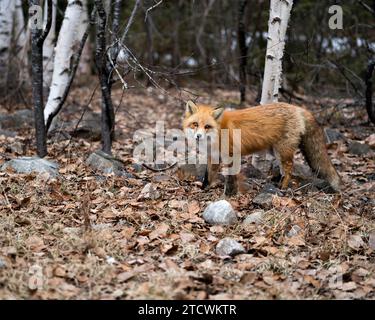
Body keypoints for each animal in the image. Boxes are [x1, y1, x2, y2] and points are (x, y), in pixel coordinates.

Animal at [184, 100, 342, 195]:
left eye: (207, 126)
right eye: (195, 124)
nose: (198, 136)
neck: (218, 132)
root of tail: (298, 108)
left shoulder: (231, 155)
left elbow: (231, 178)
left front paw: (229, 194)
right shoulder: (214, 156)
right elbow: (208, 175)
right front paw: (204, 188)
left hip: (283, 151)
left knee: (290, 169)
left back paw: (282, 188)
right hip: (275, 151)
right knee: (284, 169)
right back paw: (277, 182)